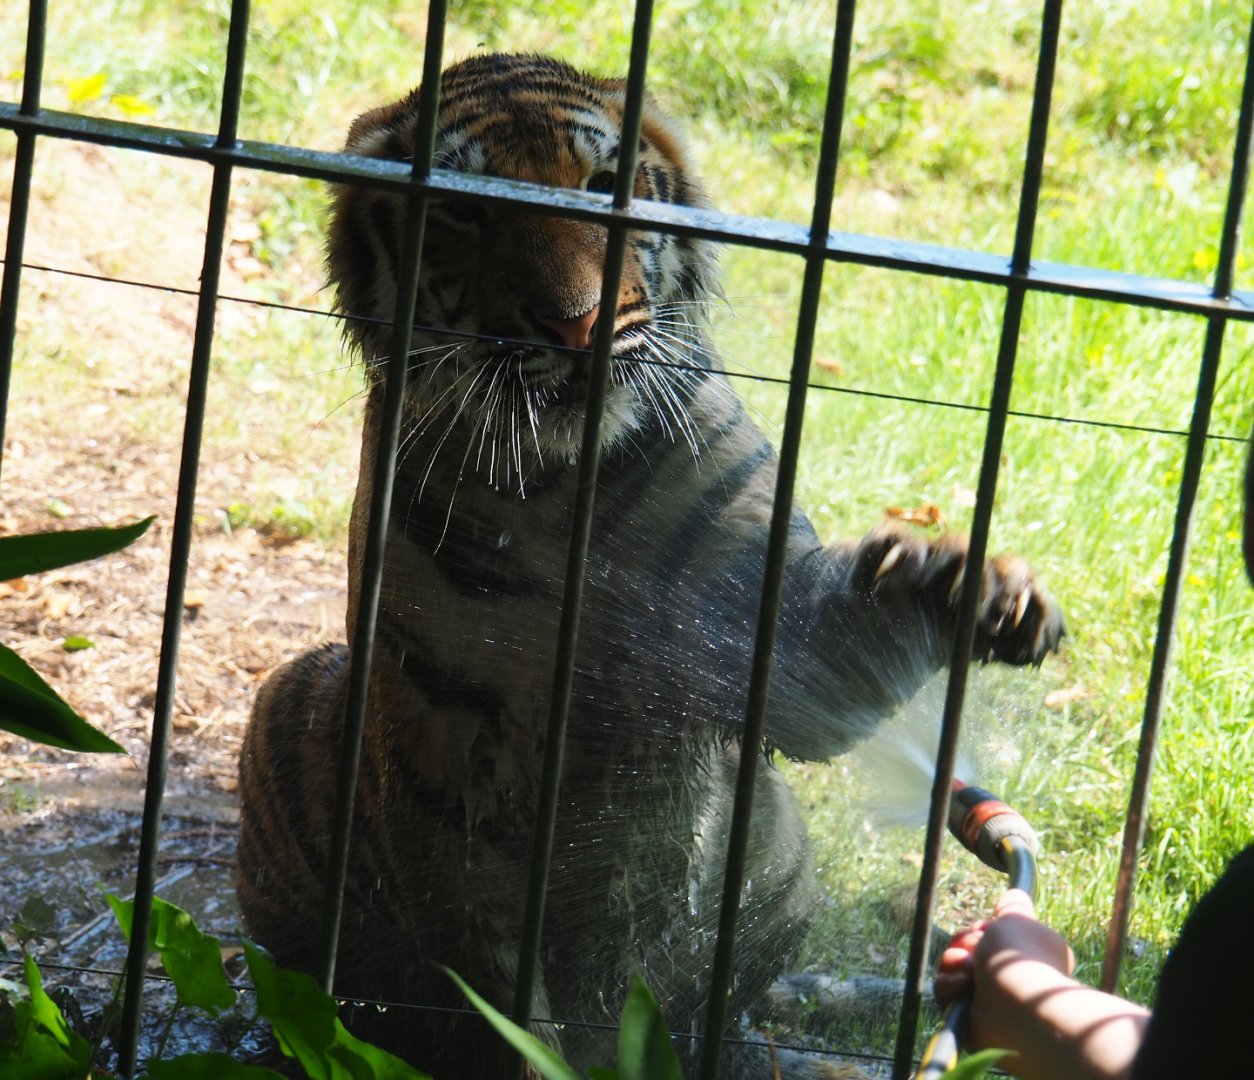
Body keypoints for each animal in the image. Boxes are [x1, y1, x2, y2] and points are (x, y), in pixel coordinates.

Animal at [237, 52, 1064, 1079]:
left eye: (604, 186)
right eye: (468, 211)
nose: (576, 327)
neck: (566, 486)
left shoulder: (763, 643)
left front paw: (977, 590)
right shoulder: (447, 774)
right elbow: (503, 1013)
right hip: (295, 698)